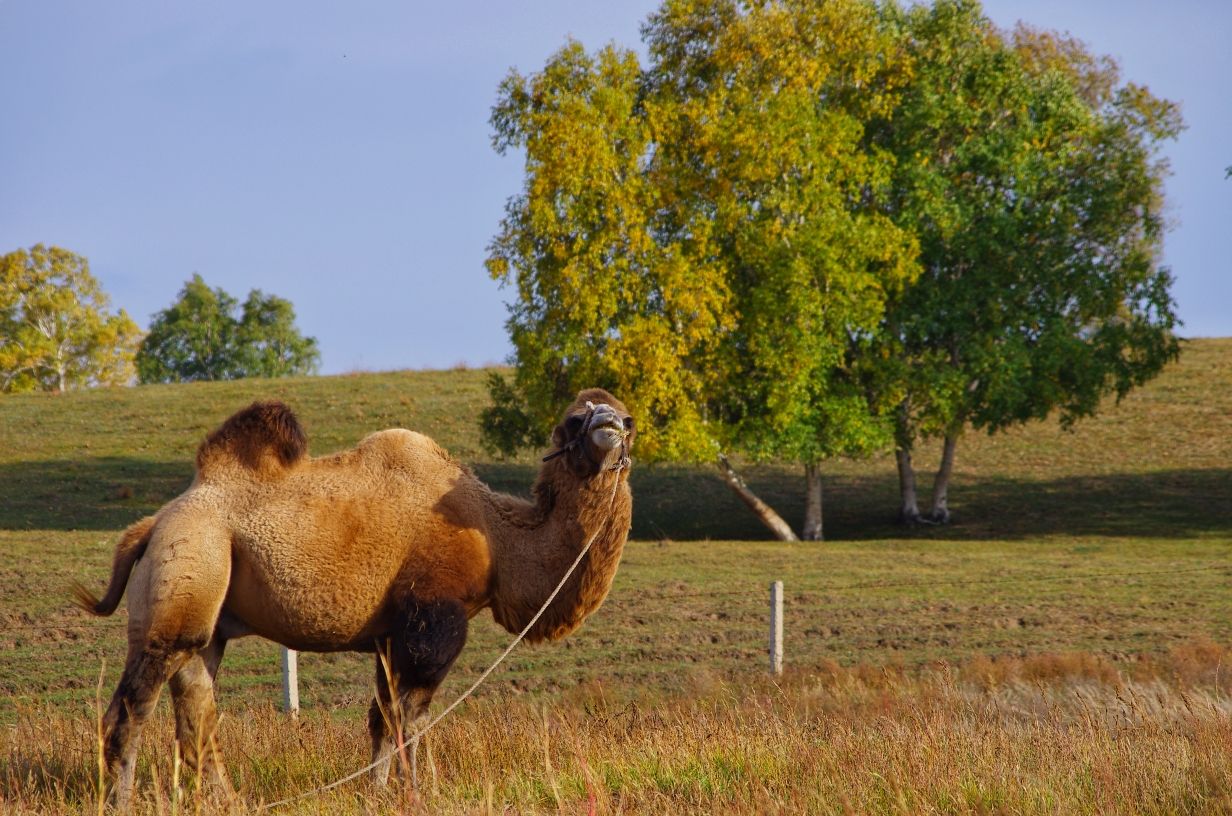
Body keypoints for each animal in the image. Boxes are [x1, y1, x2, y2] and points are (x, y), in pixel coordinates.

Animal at [73, 389, 635, 813]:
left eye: (626, 418)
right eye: (574, 419)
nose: (609, 426)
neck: (497, 537)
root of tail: (151, 526)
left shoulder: (391, 633)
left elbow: (383, 715)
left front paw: (379, 792)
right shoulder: (432, 621)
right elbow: (408, 715)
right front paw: (411, 794)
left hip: (205, 611)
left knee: (195, 707)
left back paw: (223, 800)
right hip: (187, 568)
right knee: (133, 707)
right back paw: (122, 802)